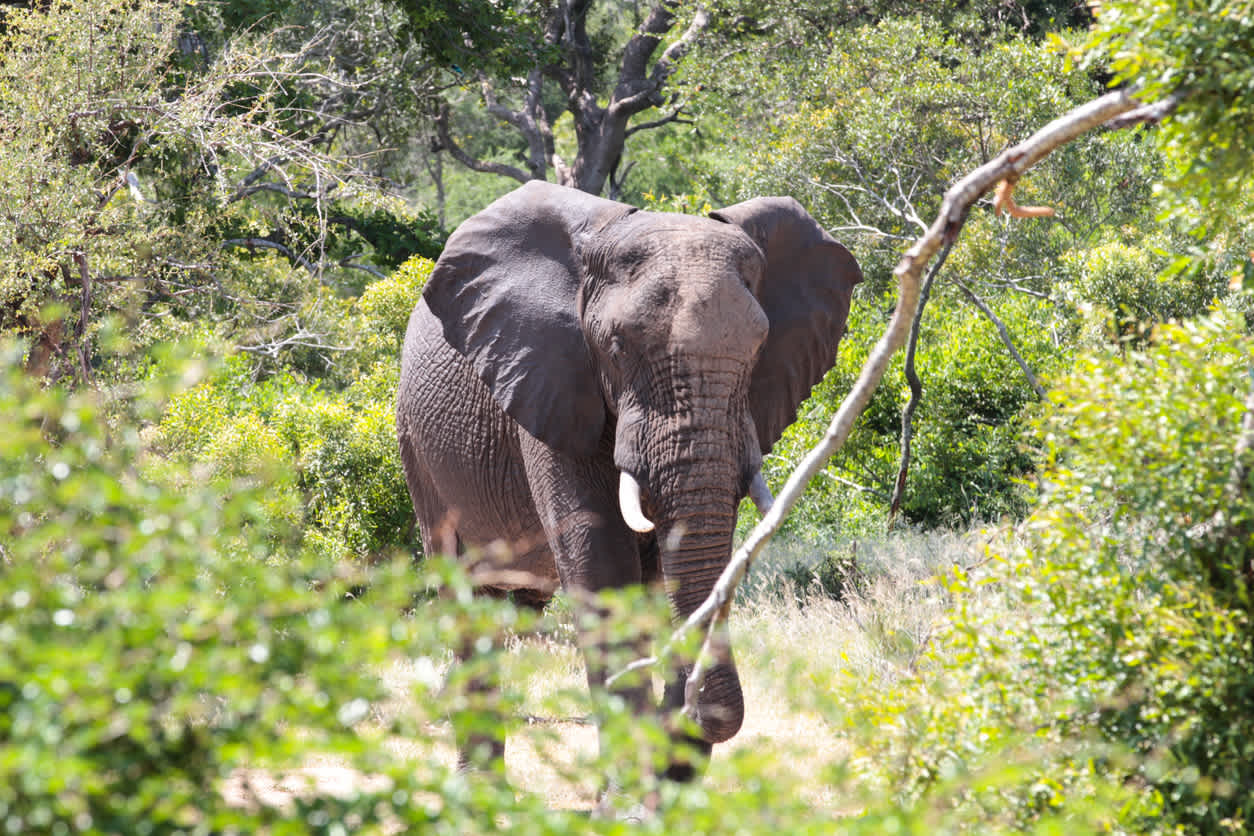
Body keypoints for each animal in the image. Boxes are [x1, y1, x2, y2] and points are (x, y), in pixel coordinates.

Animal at [393, 180, 862, 782]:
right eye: (616, 348)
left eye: (758, 350)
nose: (689, 719)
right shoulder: (552, 379)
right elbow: (601, 563)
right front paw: (629, 794)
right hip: (417, 446)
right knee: (466, 598)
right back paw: (478, 791)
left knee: (508, 608)